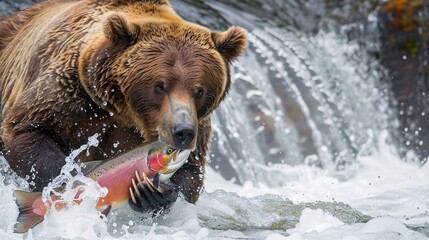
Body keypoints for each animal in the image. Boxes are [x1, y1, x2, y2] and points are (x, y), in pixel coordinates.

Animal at [0, 0, 246, 213]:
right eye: (160, 86)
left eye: (199, 90)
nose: (183, 132)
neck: (126, 111)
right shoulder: (72, 93)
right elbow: (29, 130)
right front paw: (76, 182)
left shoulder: (199, 123)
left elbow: (191, 172)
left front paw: (153, 193)